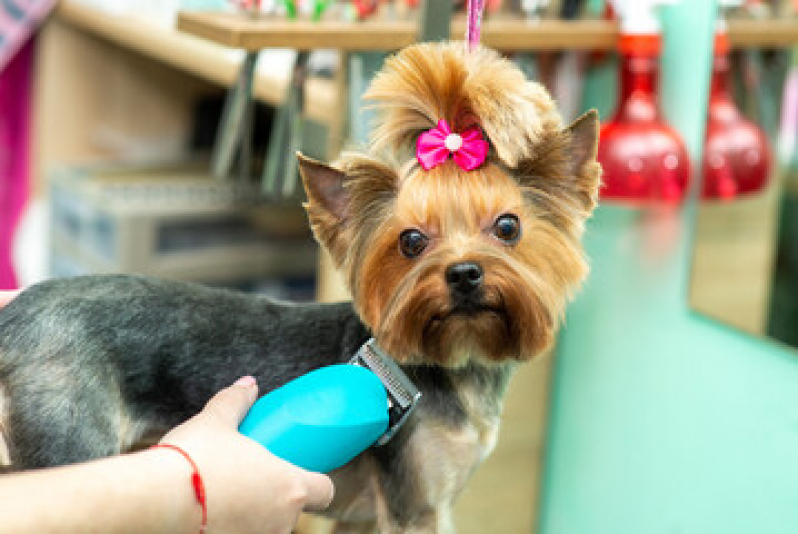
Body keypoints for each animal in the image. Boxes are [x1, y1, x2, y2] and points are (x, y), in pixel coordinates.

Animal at [0, 44, 600, 532]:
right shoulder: (414, 506)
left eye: (508, 227)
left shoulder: (366, 518)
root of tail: (17, 317)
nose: (465, 273)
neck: (451, 358)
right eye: (410, 241)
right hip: (71, 443)